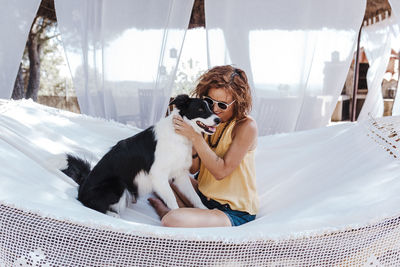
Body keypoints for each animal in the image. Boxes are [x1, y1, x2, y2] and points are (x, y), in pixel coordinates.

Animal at [61, 95, 220, 217]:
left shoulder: (180, 175)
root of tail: (81, 188)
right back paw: (112, 214)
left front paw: (205, 211)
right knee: (91, 205)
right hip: (118, 184)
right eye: (200, 109)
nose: (218, 120)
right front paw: (177, 216)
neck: (178, 134)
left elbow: (195, 197)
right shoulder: (159, 176)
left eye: (211, 108)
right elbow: (172, 200)